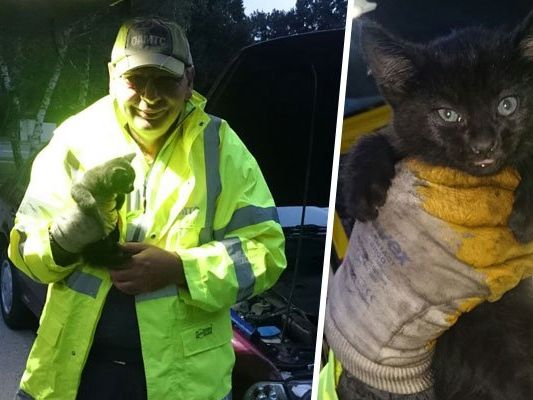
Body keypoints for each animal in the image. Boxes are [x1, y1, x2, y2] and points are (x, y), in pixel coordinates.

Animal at [340, 14, 533, 400]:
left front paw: (525, 214)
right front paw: (359, 189)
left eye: (507, 104)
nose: (484, 145)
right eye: (448, 114)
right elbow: (378, 138)